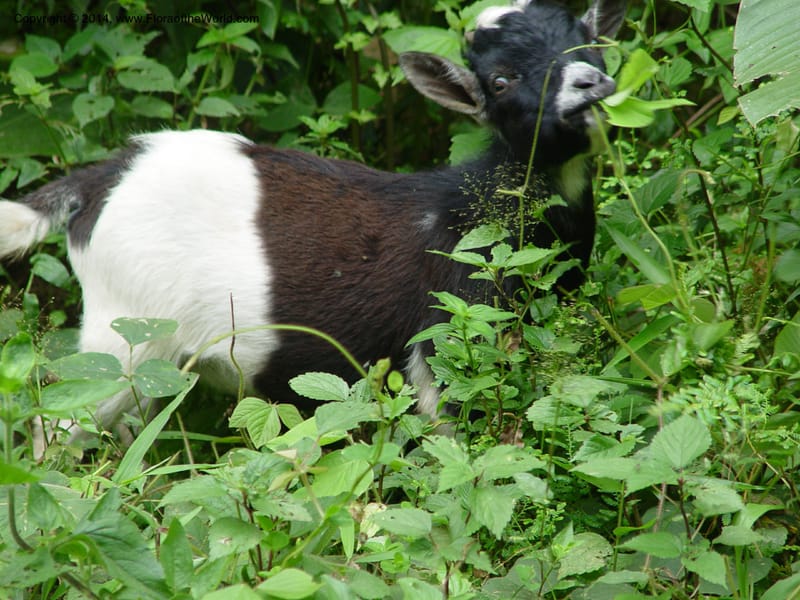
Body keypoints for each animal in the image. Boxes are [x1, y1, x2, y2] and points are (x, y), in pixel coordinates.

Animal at [0, 0, 625, 451]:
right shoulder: (449, 333)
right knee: (60, 423)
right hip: (127, 337)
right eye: (499, 81)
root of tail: (102, 178)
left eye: (590, 41)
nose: (587, 84)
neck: (477, 206)